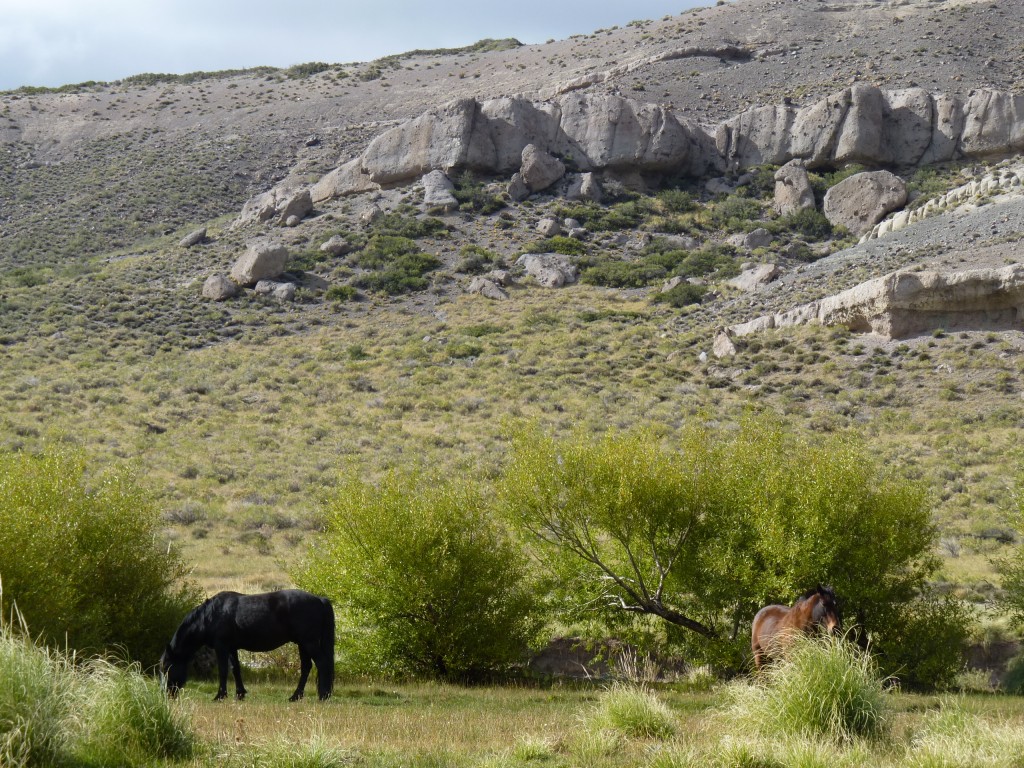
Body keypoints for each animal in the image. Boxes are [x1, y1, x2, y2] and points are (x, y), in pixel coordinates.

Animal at [159, 589, 333, 704]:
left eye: (167, 667)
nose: (165, 693)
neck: (210, 616)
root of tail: (319, 599)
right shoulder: (232, 648)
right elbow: (235, 669)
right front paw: (239, 694)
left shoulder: (221, 647)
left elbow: (223, 671)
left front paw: (220, 696)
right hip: (302, 644)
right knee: (306, 667)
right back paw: (296, 696)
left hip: (308, 642)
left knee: (322, 663)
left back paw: (323, 696)